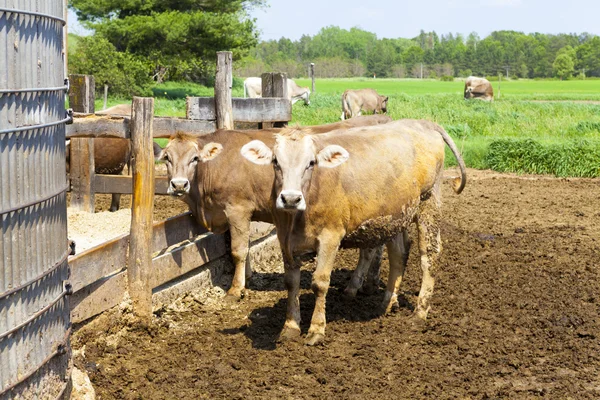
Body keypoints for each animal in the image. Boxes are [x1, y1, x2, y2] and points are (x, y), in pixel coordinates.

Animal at [156, 113, 394, 300]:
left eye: (194, 158)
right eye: (166, 158)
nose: (179, 184)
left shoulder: (237, 209)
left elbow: (238, 250)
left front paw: (236, 289)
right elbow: (247, 246)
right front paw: (248, 277)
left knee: (369, 249)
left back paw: (354, 286)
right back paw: (369, 283)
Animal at [241, 118, 466, 344]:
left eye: (311, 163)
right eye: (276, 162)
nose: (290, 198)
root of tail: (422, 122)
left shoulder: (330, 236)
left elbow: (320, 283)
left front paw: (316, 330)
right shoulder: (284, 238)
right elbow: (291, 282)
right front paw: (290, 327)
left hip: (429, 202)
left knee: (429, 255)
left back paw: (419, 313)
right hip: (395, 215)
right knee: (398, 255)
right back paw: (387, 303)